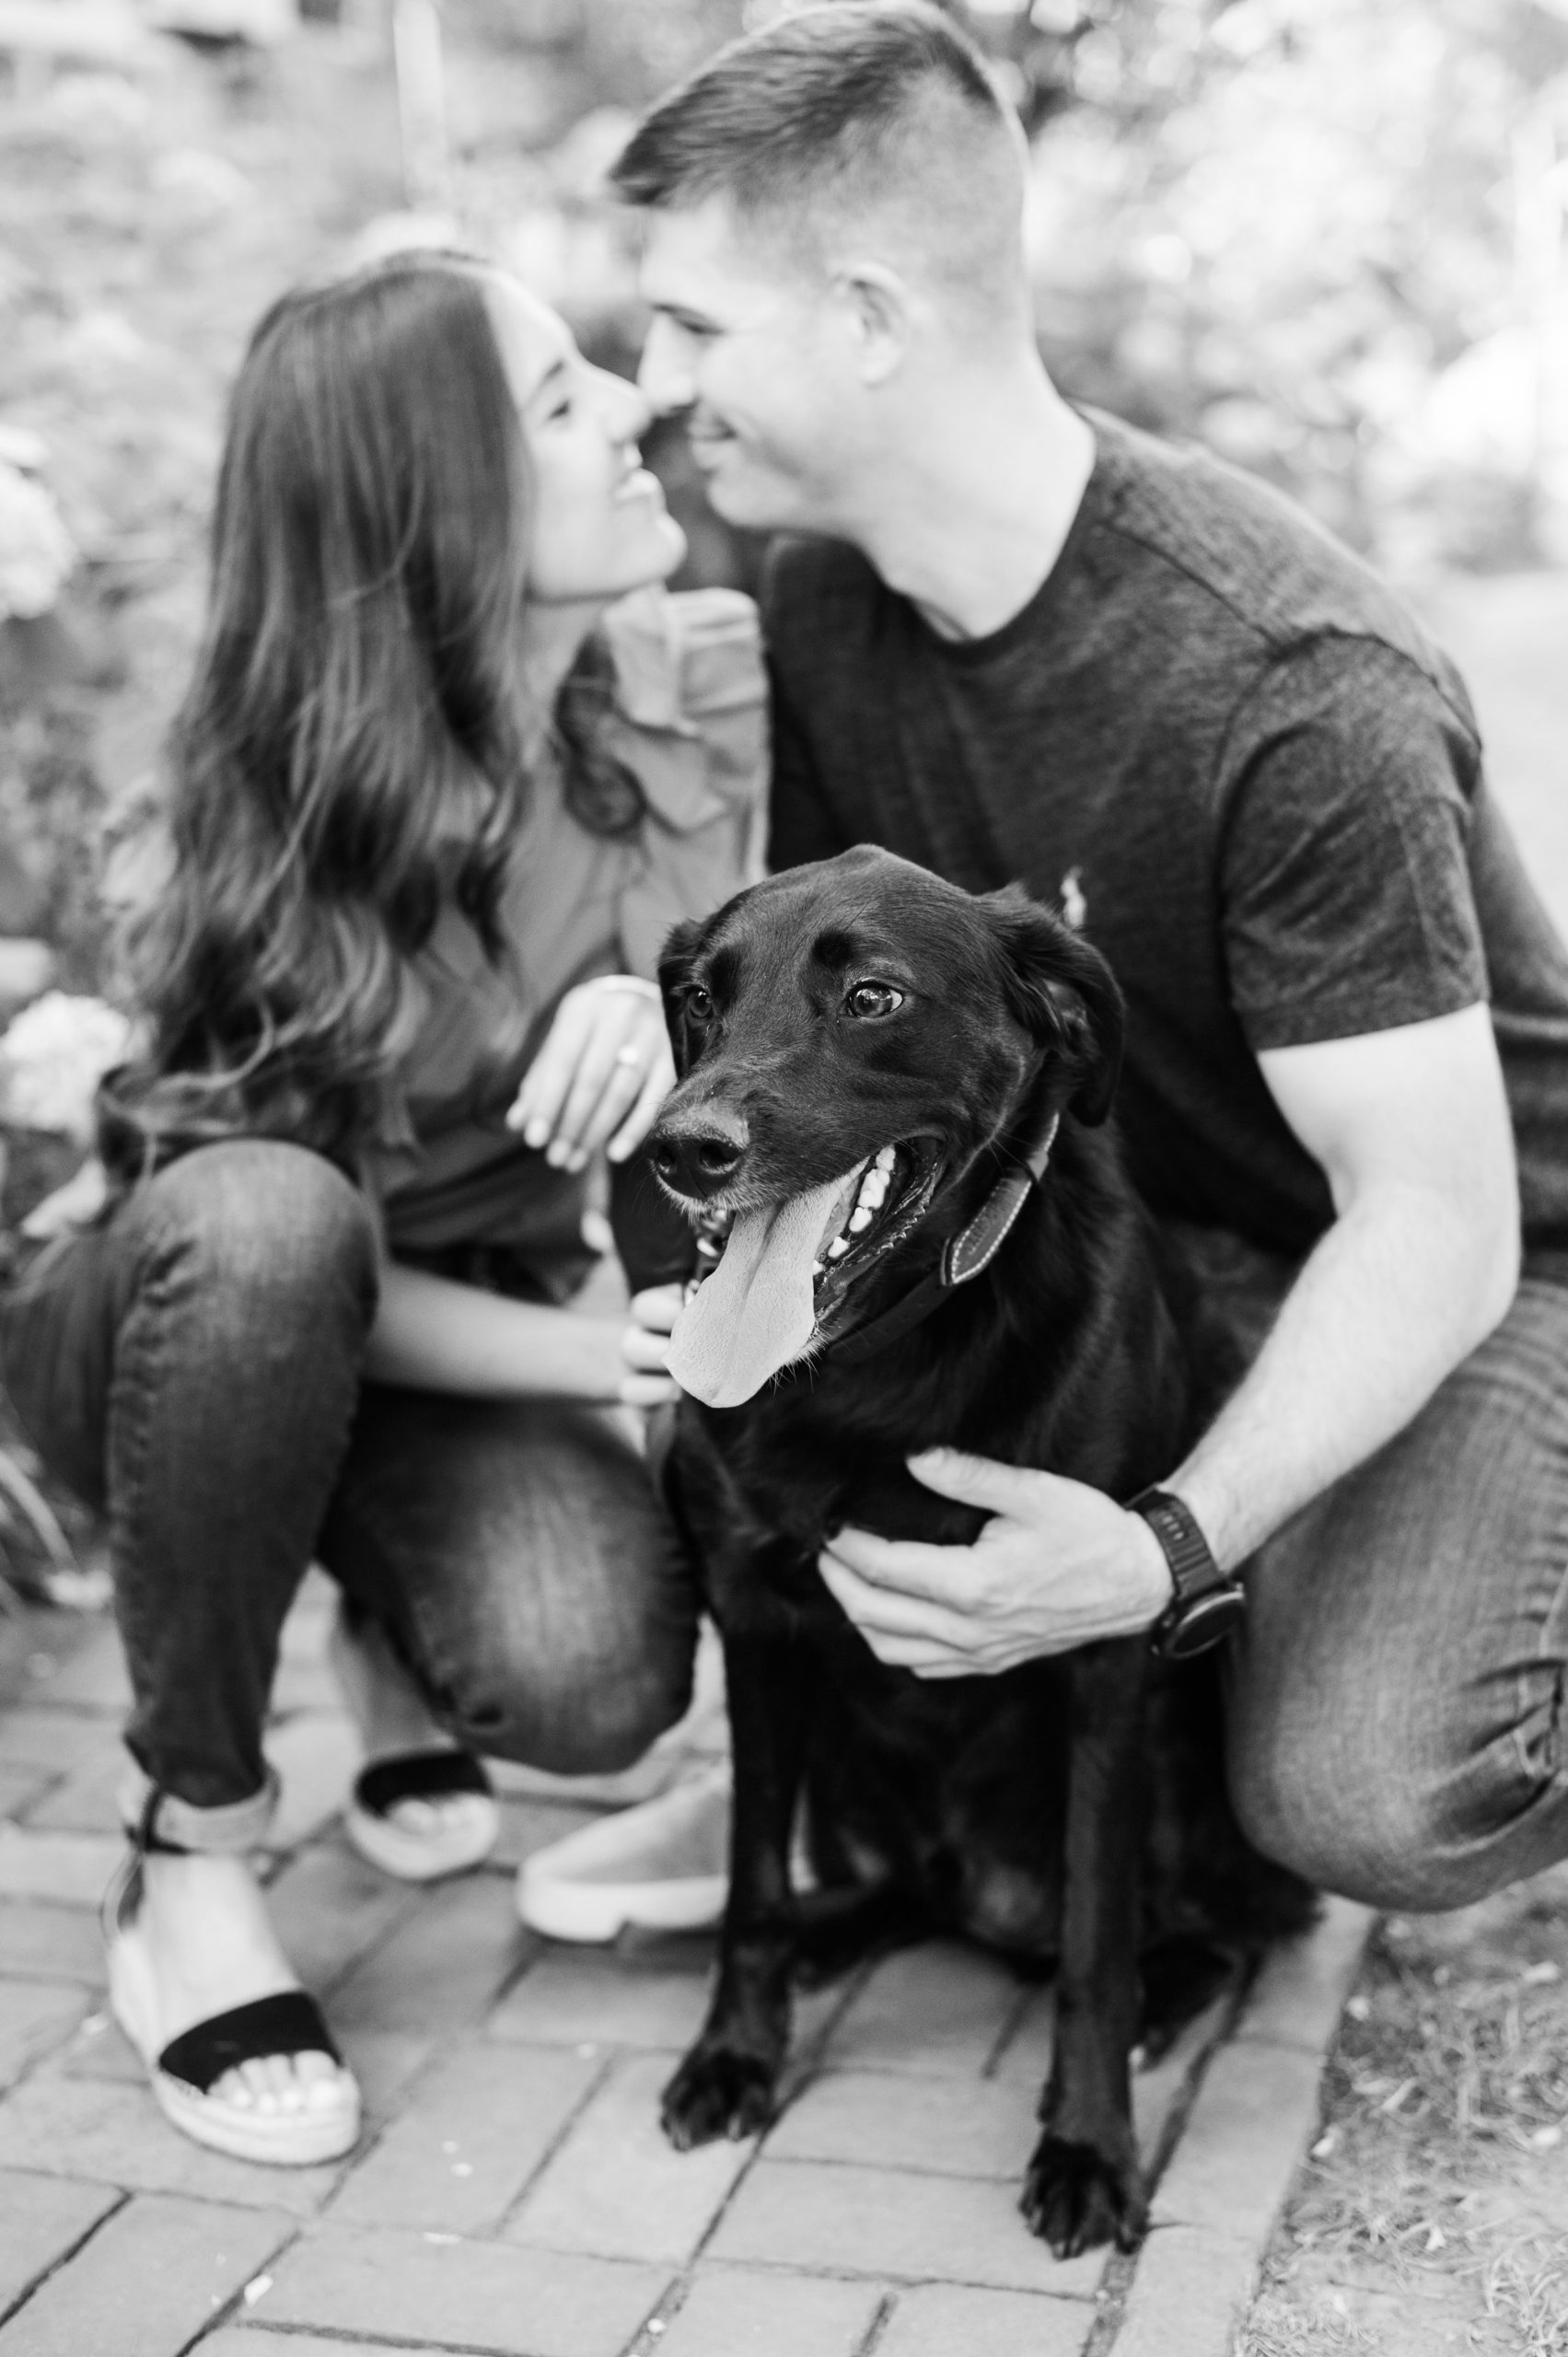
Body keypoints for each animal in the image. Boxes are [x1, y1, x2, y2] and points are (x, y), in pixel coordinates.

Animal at [641, 853, 1310, 2262]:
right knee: (900, 1886)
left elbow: (1094, 1944)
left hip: (1192, 1759)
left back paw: (1160, 1993)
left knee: (1216, 1929)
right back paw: (833, 1934)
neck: (888, 1360)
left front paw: (1088, 2147)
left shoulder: (1103, 1644)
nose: (682, 1148)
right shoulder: (753, 1623)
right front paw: (734, 2052)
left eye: (871, 996)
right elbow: (745, 1882)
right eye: (696, 998)